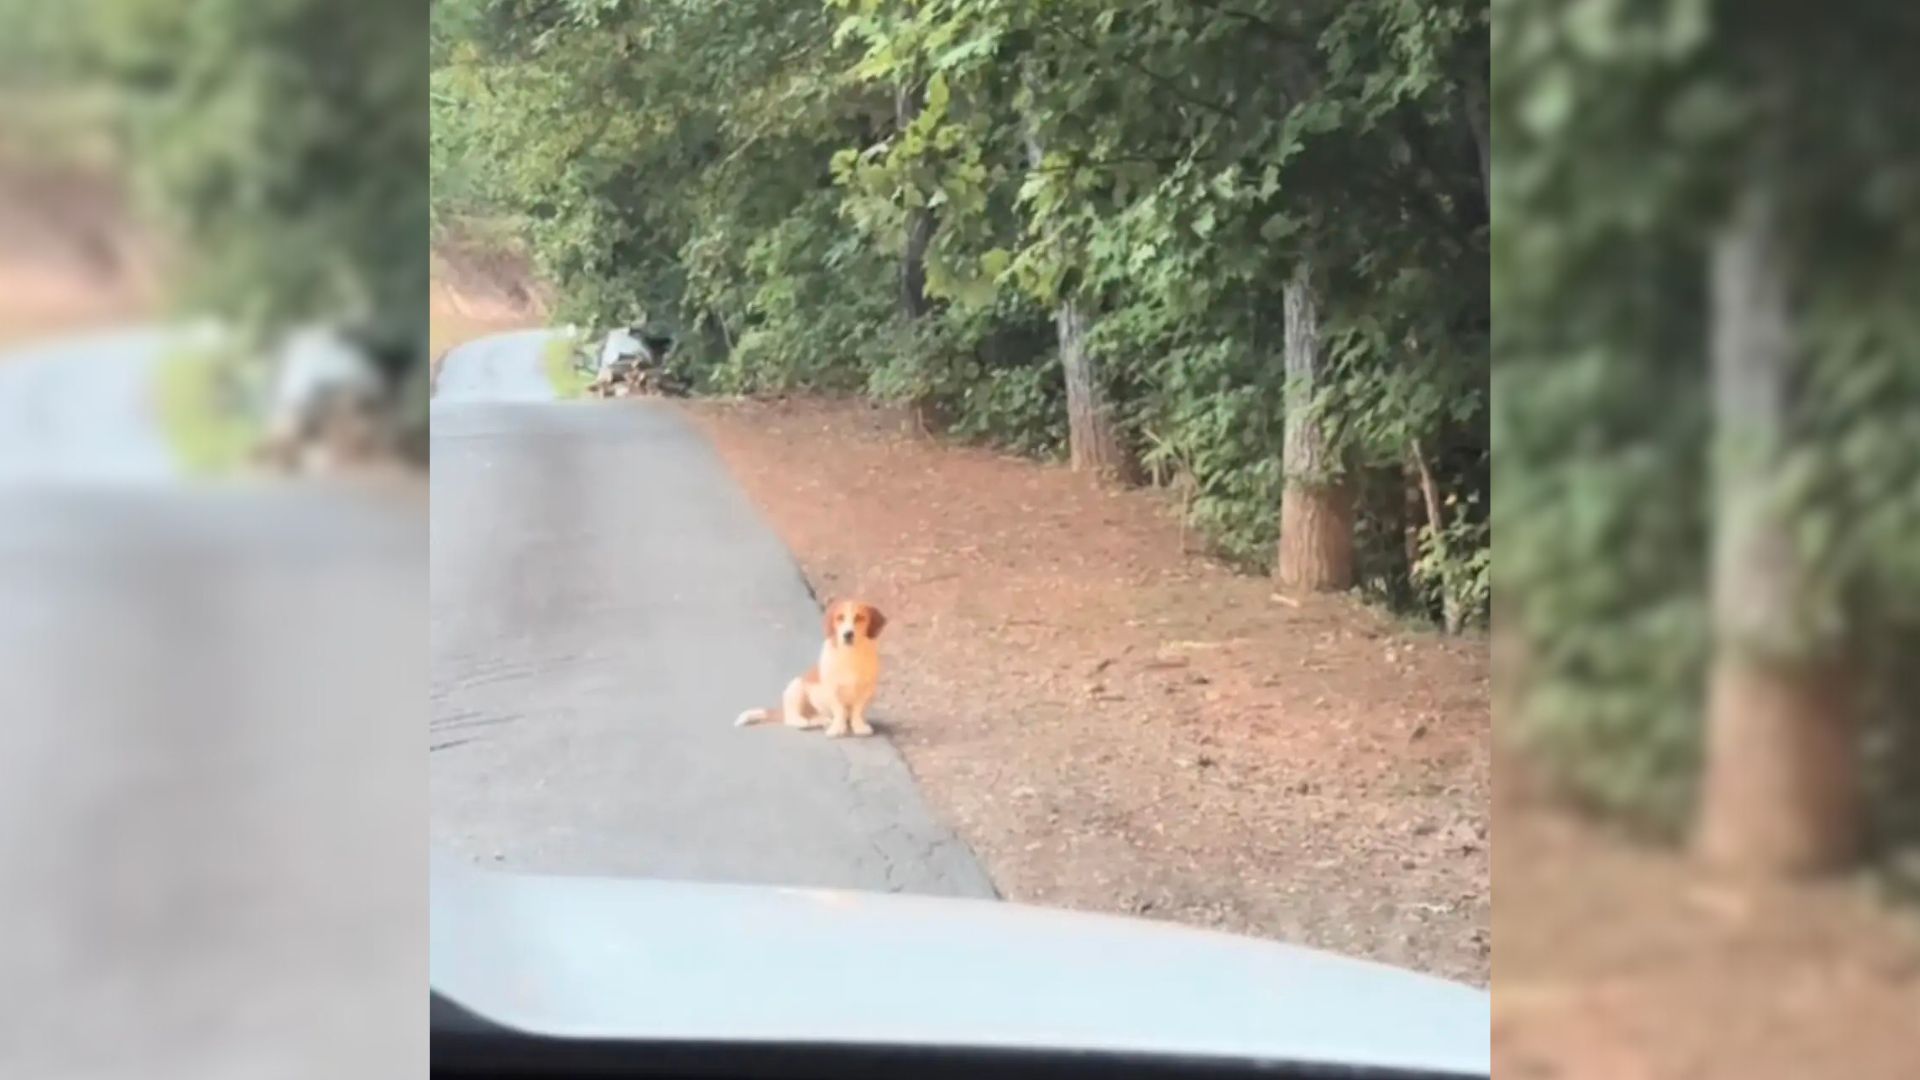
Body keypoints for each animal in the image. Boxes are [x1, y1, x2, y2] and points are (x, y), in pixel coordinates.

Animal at [737, 591, 887, 734]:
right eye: (839, 618)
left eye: (860, 617)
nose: (848, 634)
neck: (850, 655)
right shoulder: (832, 690)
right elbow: (839, 710)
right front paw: (837, 728)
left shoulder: (866, 691)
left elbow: (857, 711)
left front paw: (859, 726)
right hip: (796, 687)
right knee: (791, 718)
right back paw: (802, 722)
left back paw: (822, 720)